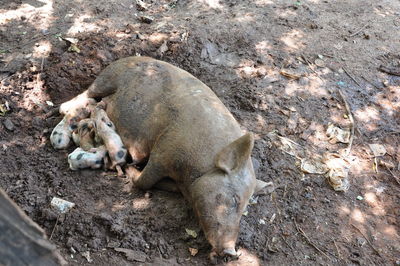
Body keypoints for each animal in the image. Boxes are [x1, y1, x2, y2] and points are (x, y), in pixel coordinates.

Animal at [57, 56, 268, 258]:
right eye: (233, 200)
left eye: (244, 209)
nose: (231, 252)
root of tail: (134, 57)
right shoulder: (164, 150)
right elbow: (145, 181)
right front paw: (130, 168)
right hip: (107, 78)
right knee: (86, 94)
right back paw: (67, 108)